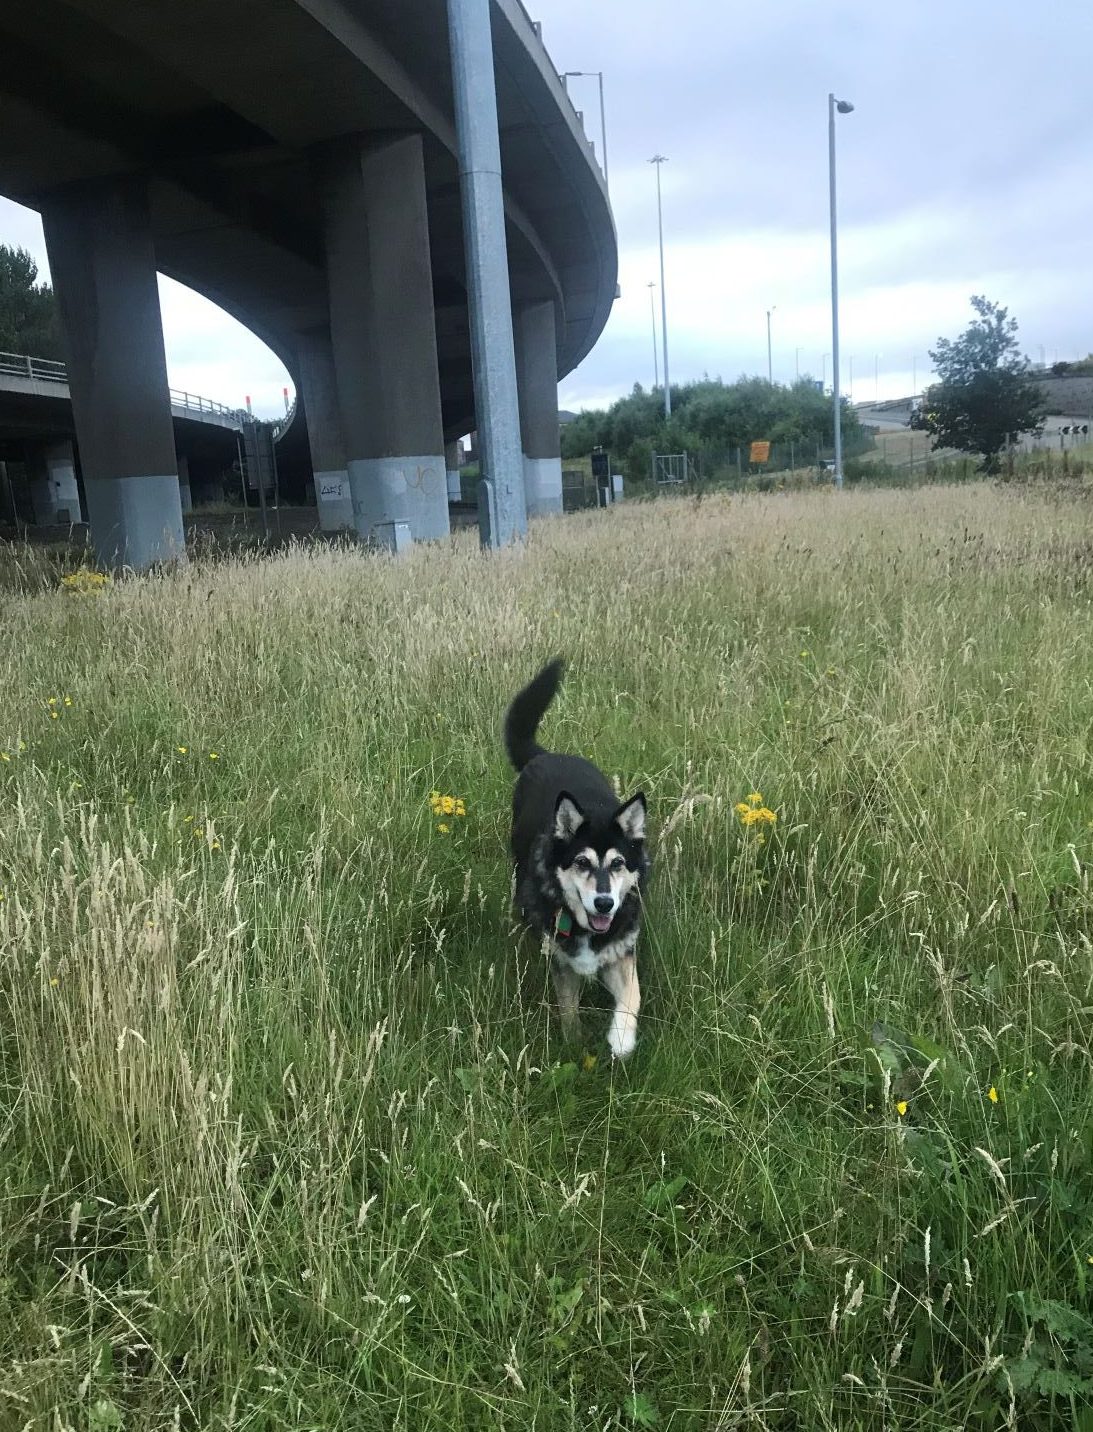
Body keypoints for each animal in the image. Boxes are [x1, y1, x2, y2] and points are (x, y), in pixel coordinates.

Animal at [504, 661, 650, 1065]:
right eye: (582, 862)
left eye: (618, 864)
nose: (604, 903)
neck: (586, 928)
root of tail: (546, 754)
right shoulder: (563, 963)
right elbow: (568, 1008)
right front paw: (573, 1044)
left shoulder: (620, 952)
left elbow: (632, 995)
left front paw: (621, 1038)